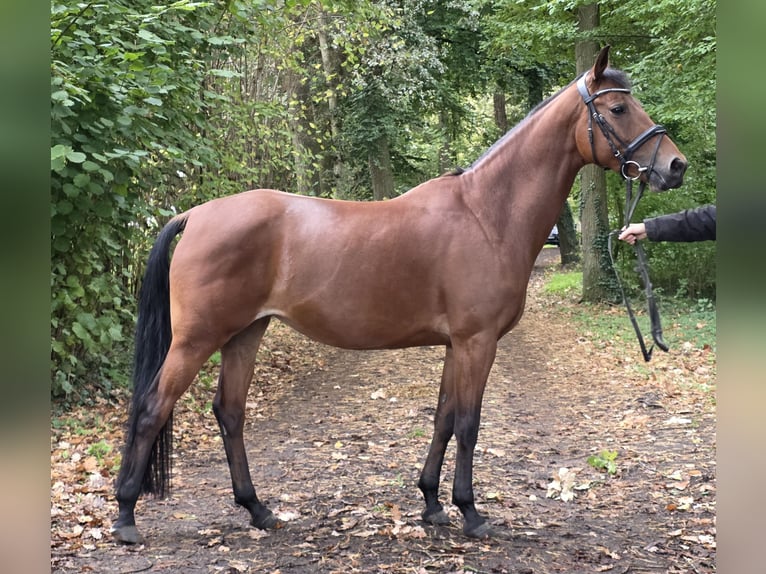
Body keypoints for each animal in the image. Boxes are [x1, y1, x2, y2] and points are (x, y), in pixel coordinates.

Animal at [112, 46, 686, 543]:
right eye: (618, 107)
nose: (675, 166)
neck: (487, 214)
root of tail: (195, 214)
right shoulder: (478, 342)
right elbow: (469, 424)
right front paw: (471, 512)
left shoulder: (457, 345)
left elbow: (444, 419)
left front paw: (432, 503)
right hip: (197, 339)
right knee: (152, 408)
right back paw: (125, 517)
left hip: (246, 334)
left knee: (229, 414)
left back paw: (257, 509)